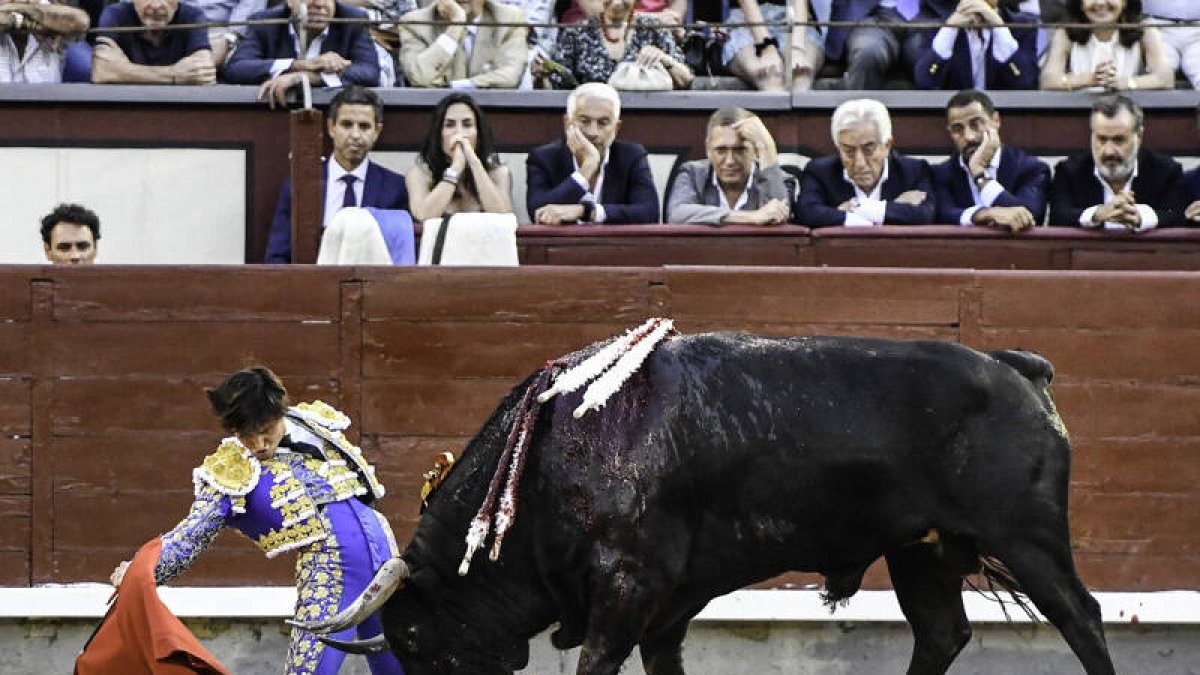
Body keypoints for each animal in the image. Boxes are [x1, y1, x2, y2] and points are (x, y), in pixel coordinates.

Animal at [336, 333, 1113, 672]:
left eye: (411, 638)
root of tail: (1019, 369)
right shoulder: (667, 602)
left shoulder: (626, 587)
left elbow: (598, 661)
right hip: (921, 551)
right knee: (942, 632)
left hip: (1028, 538)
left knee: (1081, 615)